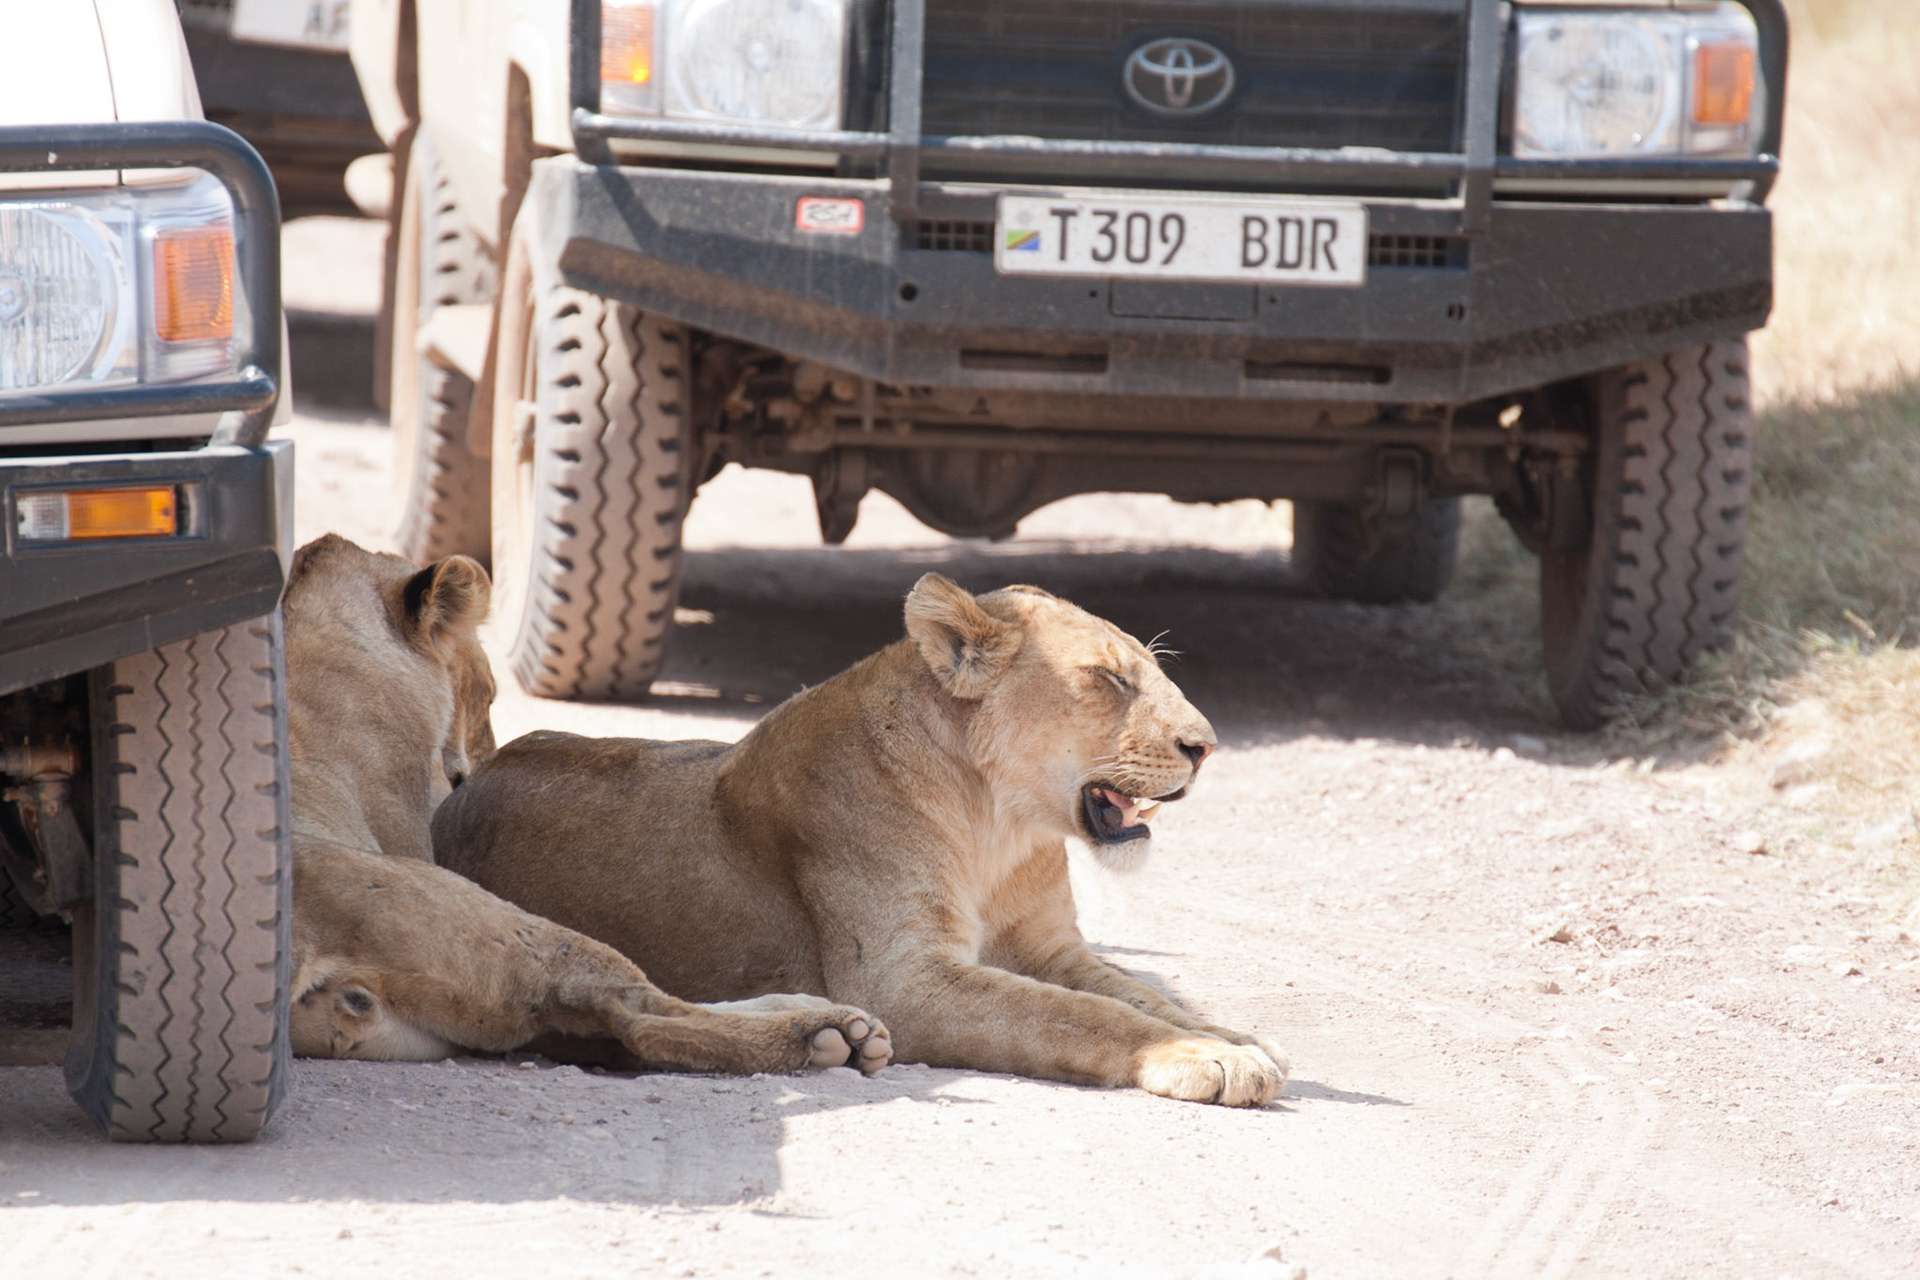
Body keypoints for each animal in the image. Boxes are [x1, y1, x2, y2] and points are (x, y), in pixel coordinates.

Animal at [433, 573, 1287, 1106]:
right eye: (1109, 680)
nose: (1207, 747)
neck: (1000, 828)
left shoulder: (1051, 949)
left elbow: (1141, 993)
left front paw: (1228, 1036)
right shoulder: (901, 980)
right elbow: (1085, 1016)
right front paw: (1205, 1058)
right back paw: (821, 1039)